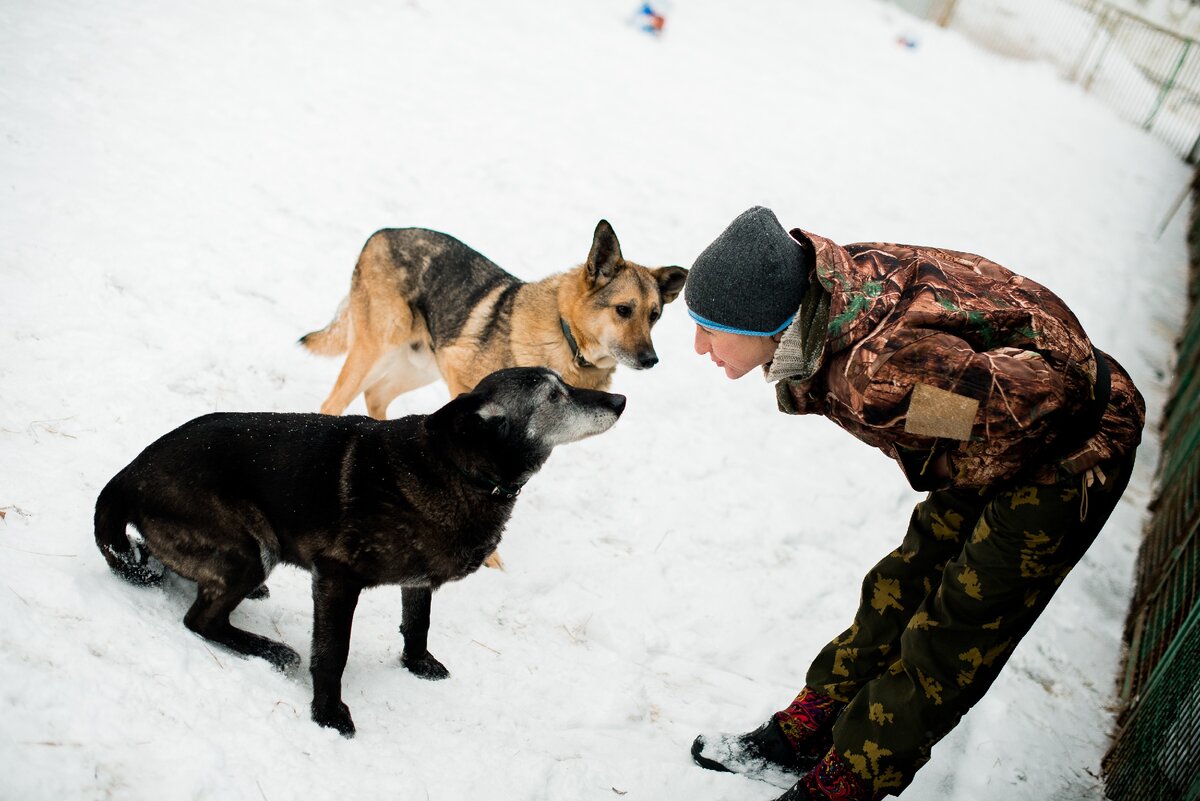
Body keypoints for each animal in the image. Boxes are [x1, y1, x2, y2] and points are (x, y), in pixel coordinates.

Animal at [91, 366, 628, 733]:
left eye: (565, 383)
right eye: (555, 395)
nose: (621, 398)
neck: (459, 468)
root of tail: (128, 474)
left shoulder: (417, 581)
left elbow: (417, 624)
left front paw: (417, 665)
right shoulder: (337, 578)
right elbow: (332, 655)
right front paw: (328, 713)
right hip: (248, 550)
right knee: (201, 620)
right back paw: (265, 648)